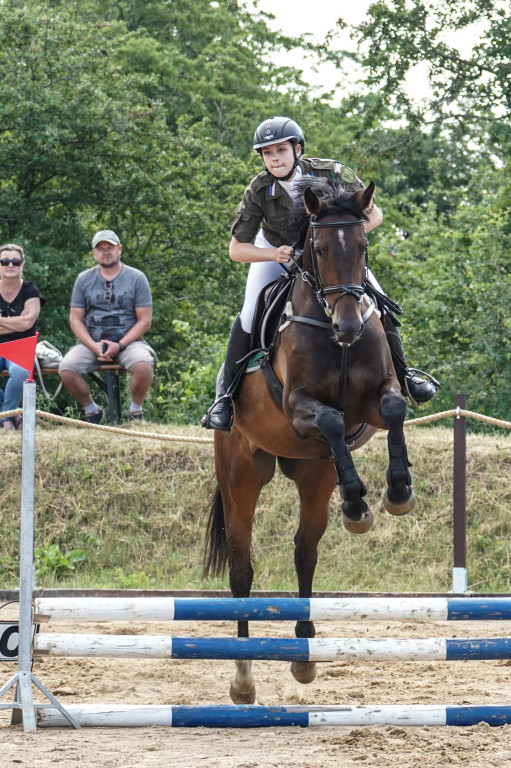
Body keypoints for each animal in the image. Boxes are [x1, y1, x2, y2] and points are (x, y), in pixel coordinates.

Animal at [204, 177, 416, 704]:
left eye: (362, 247)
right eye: (317, 250)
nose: (349, 326)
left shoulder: (376, 400)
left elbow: (395, 410)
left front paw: (395, 493)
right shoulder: (300, 409)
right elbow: (334, 422)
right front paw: (360, 501)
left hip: (313, 473)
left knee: (305, 550)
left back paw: (304, 655)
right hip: (241, 475)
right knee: (242, 569)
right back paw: (243, 677)